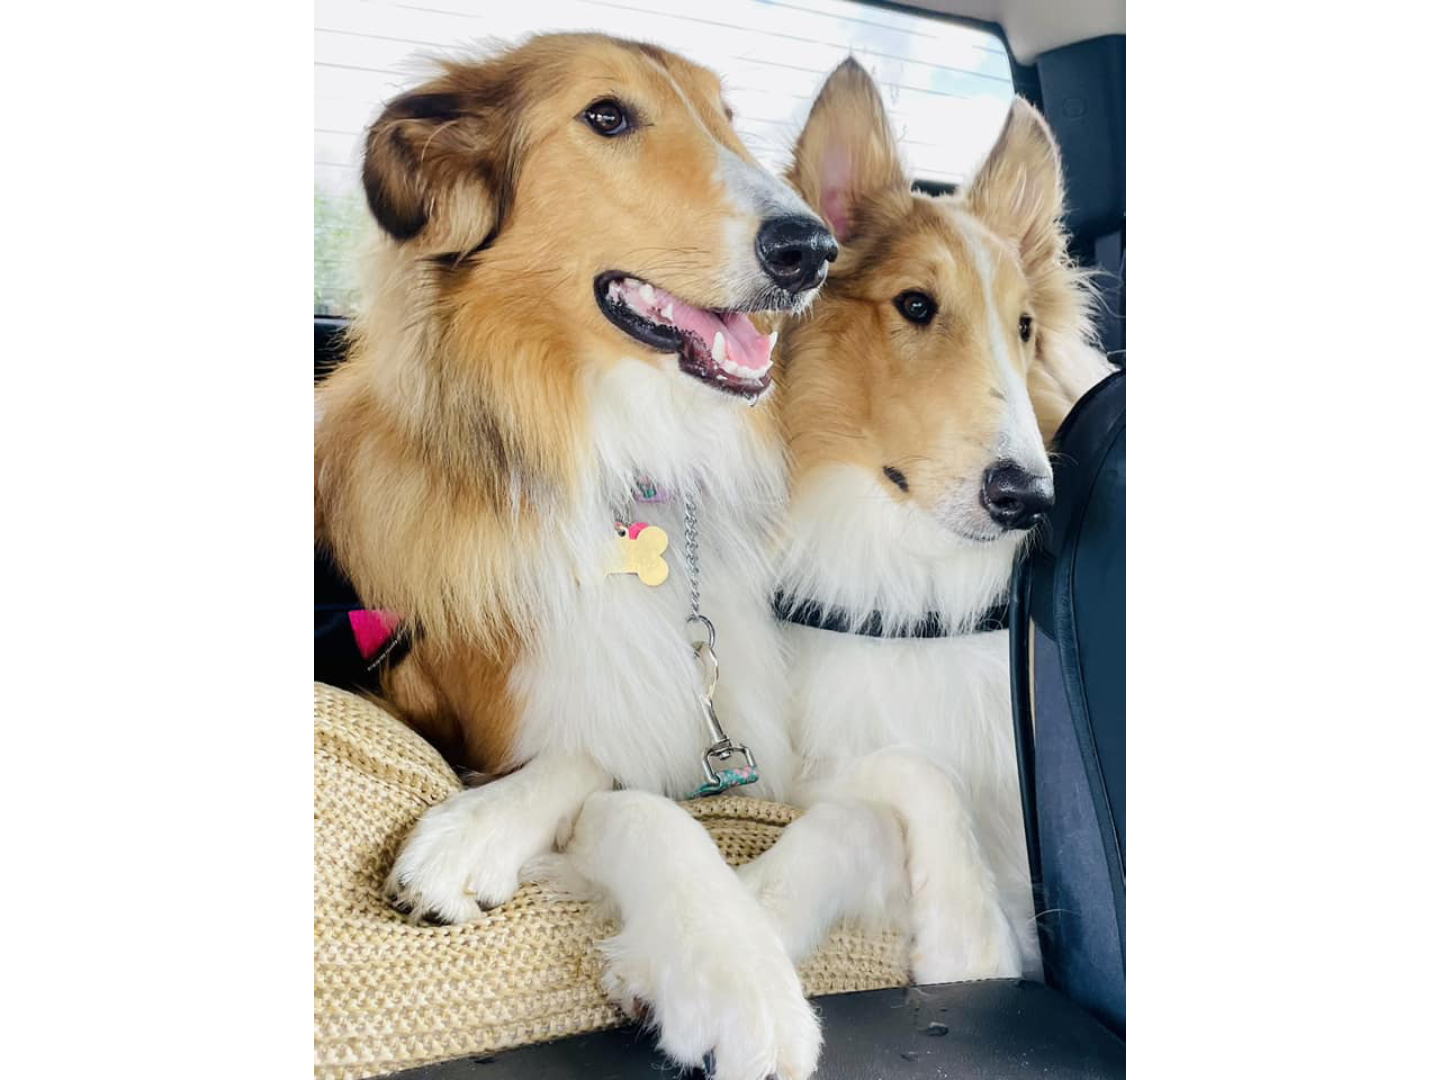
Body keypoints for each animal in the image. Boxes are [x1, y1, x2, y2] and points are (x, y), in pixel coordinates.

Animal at [313, 33, 835, 1080]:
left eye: (726, 116)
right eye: (606, 116)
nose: (813, 249)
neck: (618, 466)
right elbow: (601, 769)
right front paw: (740, 977)